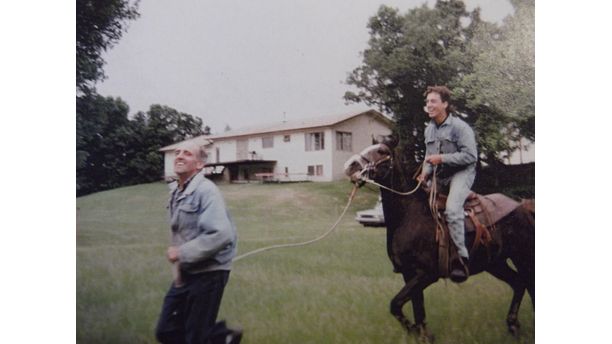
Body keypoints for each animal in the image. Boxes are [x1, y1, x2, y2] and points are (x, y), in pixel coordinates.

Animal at [344, 140, 536, 342]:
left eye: (381, 151)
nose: (350, 166)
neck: (410, 216)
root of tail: (522, 208)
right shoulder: (409, 274)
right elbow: (417, 309)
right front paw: (423, 335)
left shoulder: (426, 274)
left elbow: (396, 304)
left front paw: (416, 332)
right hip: (496, 264)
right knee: (519, 283)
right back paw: (513, 325)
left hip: (523, 258)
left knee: (529, 285)